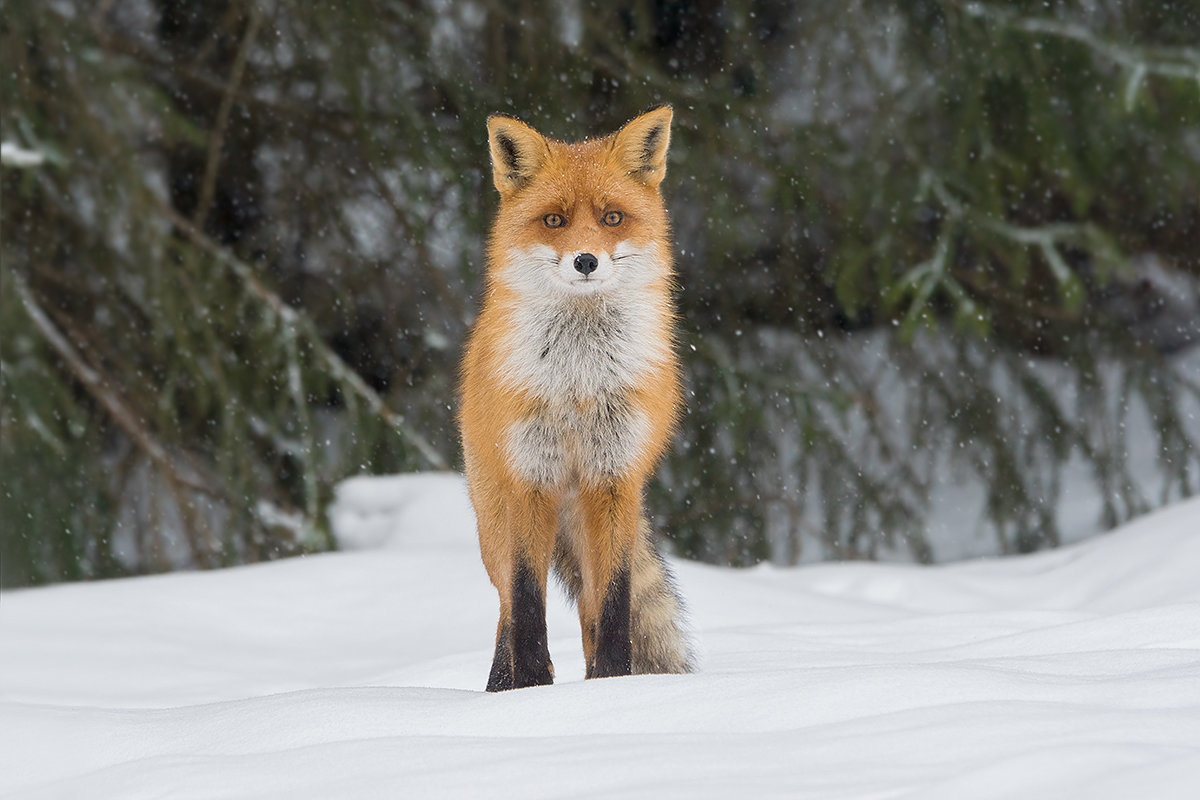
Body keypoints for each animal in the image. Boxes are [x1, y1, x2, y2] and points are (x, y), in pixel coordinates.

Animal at [456, 106, 696, 690]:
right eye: (554, 221)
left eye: (611, 218)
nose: (585, 261)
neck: (577, 385)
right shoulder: (530, 477)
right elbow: (526, 603)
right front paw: (531, 688)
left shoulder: (615, 479)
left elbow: (613, 608)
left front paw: (611, 684)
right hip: (493, 523)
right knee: (505, 606)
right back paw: (501, 687)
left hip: (597, 521)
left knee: (590, 609)